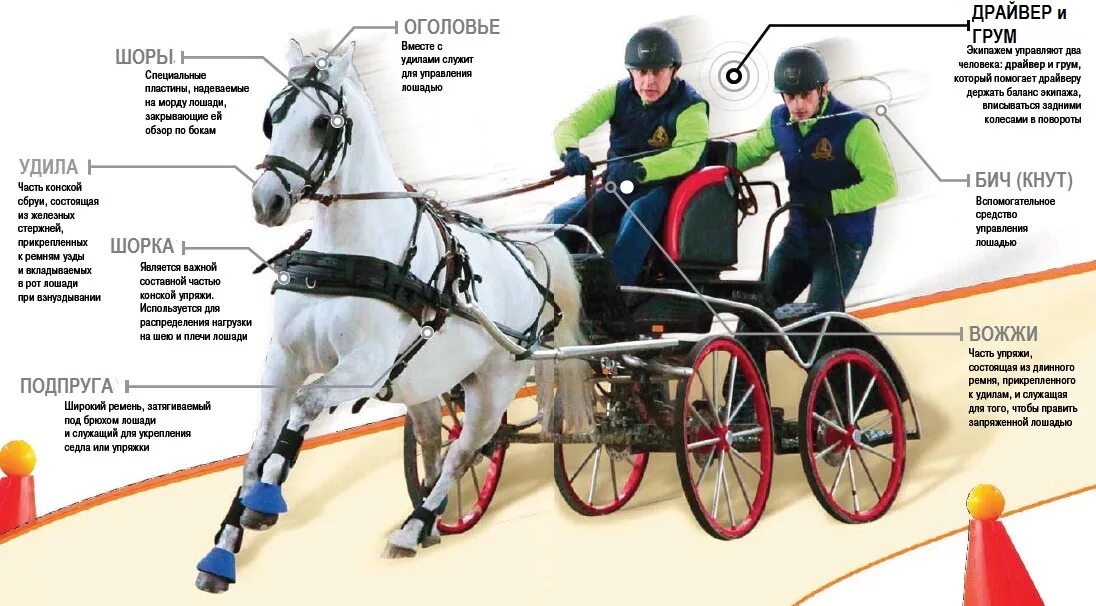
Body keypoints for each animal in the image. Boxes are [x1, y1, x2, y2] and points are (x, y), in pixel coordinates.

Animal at [194, 40, 589, 593]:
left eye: (323, 123)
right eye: (271, 118)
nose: (267, 201)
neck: (348, 252)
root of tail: (526, 252)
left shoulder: (363, 366)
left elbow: (304, 408)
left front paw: (265, 503)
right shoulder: (283, 360)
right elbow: (257, 448)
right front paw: (224, 548)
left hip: (494, 384)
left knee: (466, 450)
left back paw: (413, 527)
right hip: (425, 382)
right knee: (434, 441)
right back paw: (432, 525)